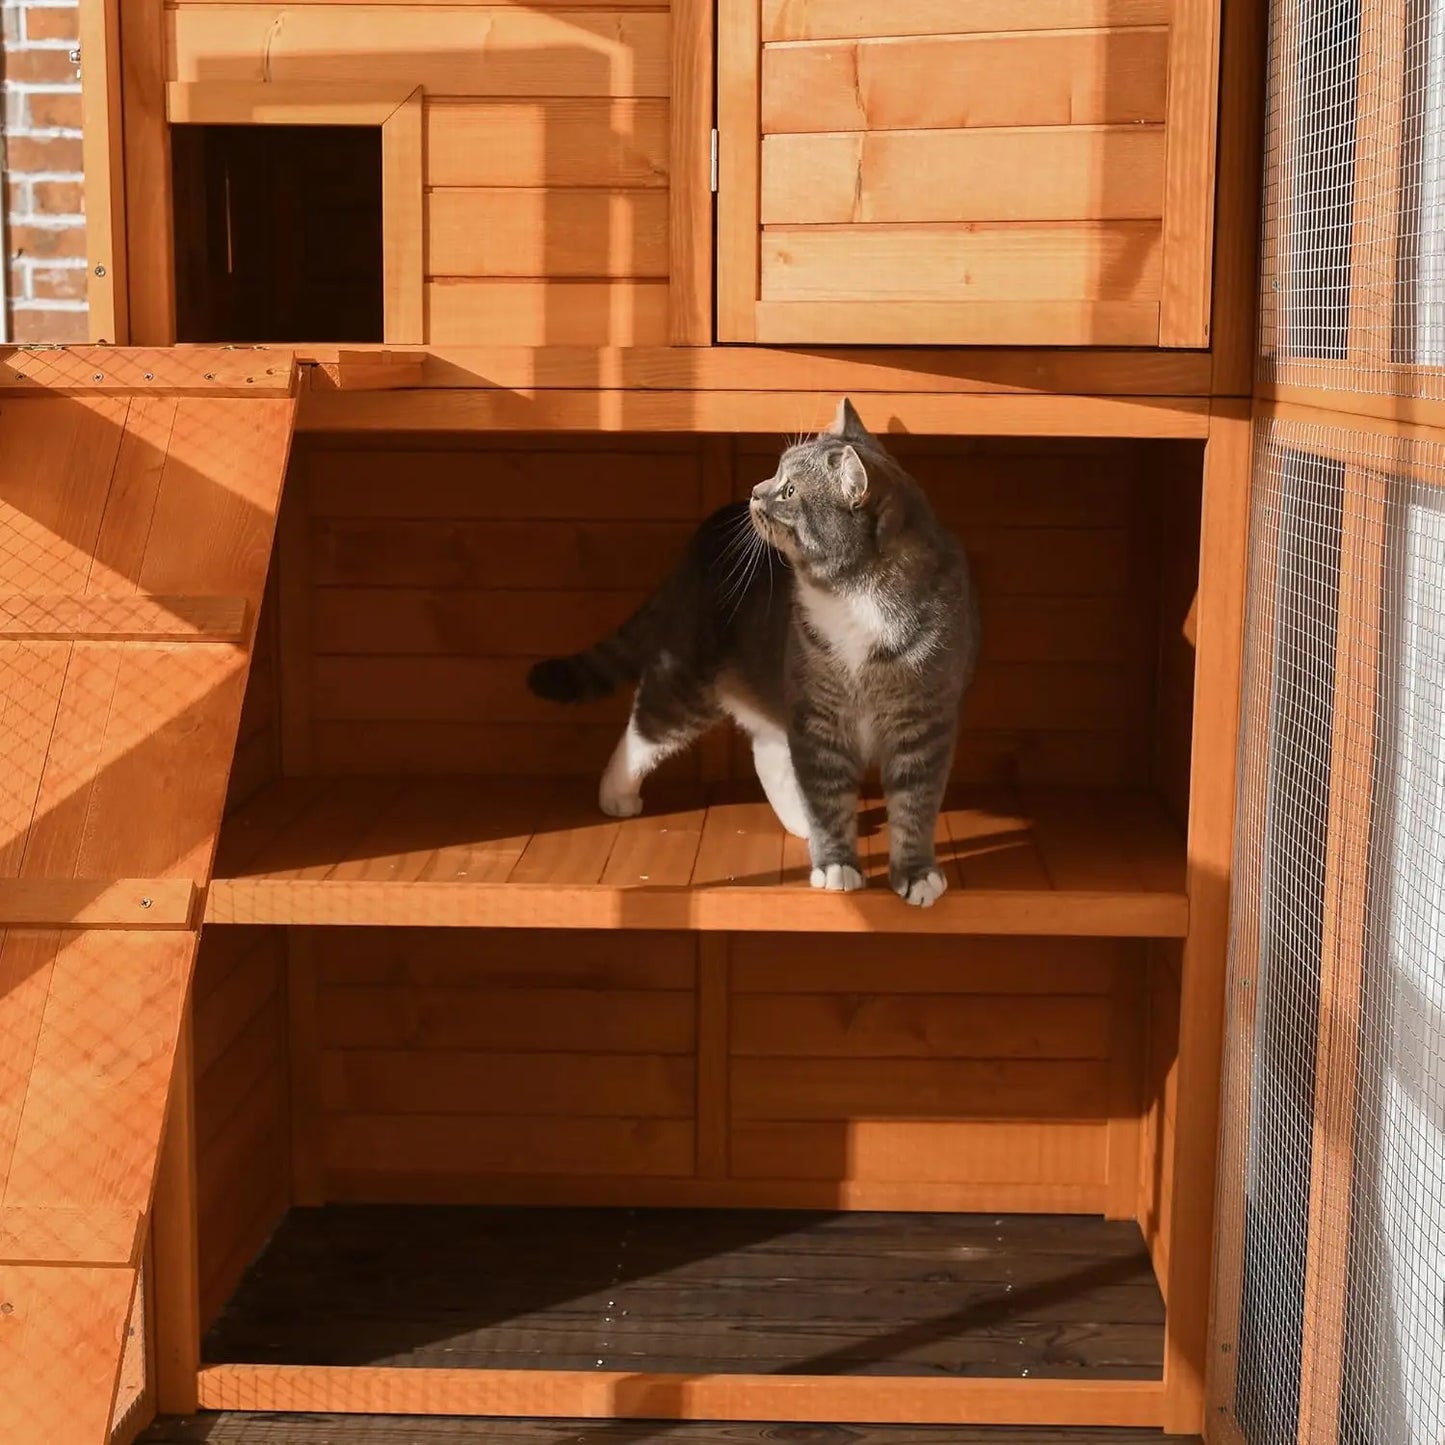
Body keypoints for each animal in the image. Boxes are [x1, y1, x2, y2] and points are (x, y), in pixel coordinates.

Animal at [531, 401, 982, 907]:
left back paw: (797, 820)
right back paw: (617, 794)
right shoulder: (816, 710)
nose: (754, 491)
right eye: (777, 473)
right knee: (647, 726)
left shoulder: (924, 719)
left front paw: (917, 874)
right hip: (692, 674)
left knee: (766, 751)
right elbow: (826, 794)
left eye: (789, 490)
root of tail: (706, 531)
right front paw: (836, 865)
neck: (856, 595)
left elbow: (916, 804)